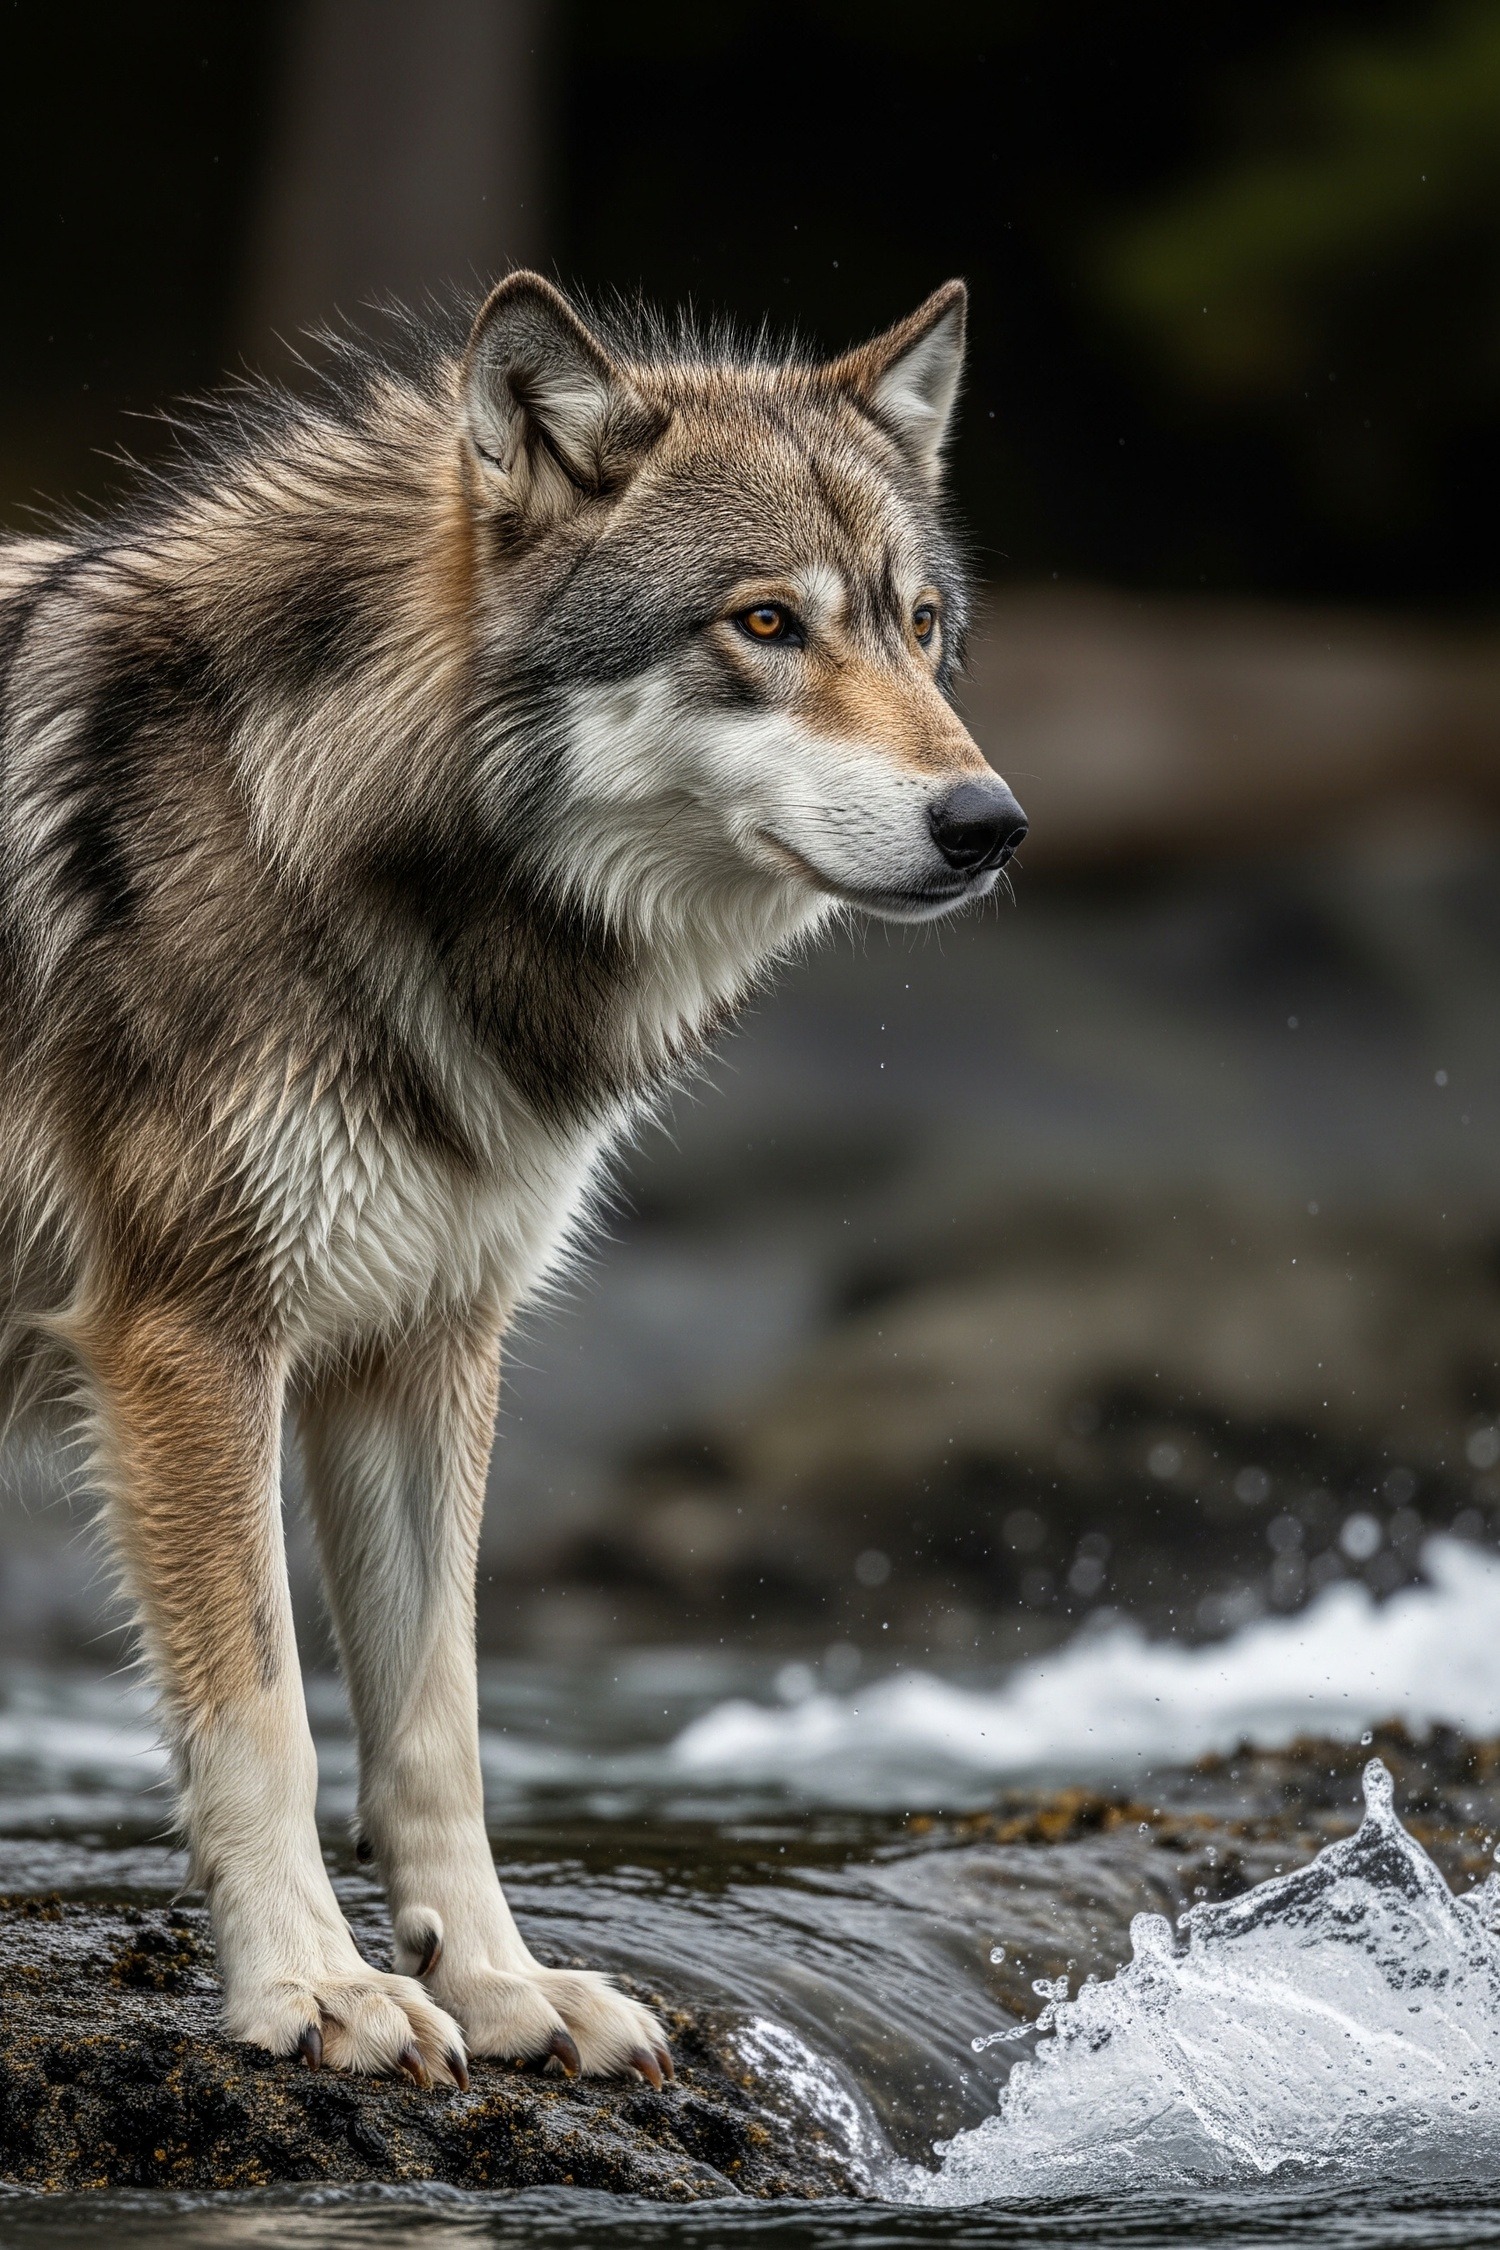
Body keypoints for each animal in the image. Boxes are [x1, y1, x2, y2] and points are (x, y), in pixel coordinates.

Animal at [0, 272, 1025, 2085]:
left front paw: (498, 1984)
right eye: (766, 624)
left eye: (917, 625)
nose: (991, 822)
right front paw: (314, 1988)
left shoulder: (424, 1346)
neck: (331, 836)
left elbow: (440, 1724)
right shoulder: (188, 1340)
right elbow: (263, 1710)